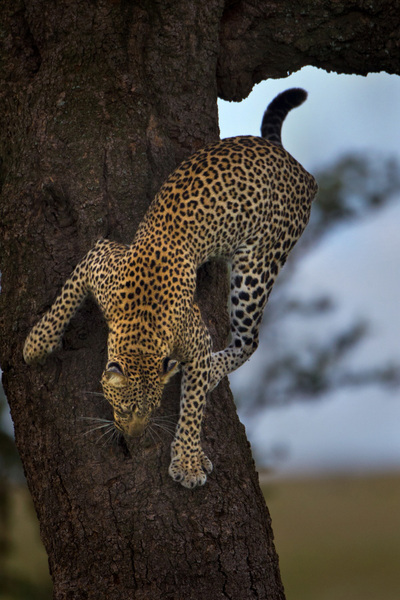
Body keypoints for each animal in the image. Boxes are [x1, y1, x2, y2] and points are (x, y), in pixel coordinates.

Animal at [24, 88, 318, 488]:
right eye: (125, 407)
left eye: (149, 409)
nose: (133, 437)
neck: (142, 327)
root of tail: (296, 166)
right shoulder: (100, 257)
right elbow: (66, 298)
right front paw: (37, 344)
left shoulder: (196, 343)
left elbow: (193, 409)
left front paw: (188, 462)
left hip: (258, 266)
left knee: (249, 341)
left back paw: (215, 371)